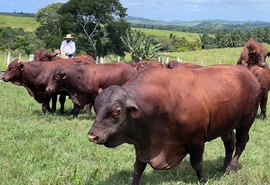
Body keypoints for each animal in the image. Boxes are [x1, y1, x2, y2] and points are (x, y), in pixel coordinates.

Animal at [87, 64, 260, 184]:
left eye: (116, 111)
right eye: (96, 106)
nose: (92, 136)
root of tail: (248, 73)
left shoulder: (196, 141)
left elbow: (197, 164)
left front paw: (203, 179)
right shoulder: (143, 145)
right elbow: (138, 168)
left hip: (245, 122)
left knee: (241, 143)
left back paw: (231, 167)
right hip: (226, 124)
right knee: (229, 142)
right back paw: (225, 165)